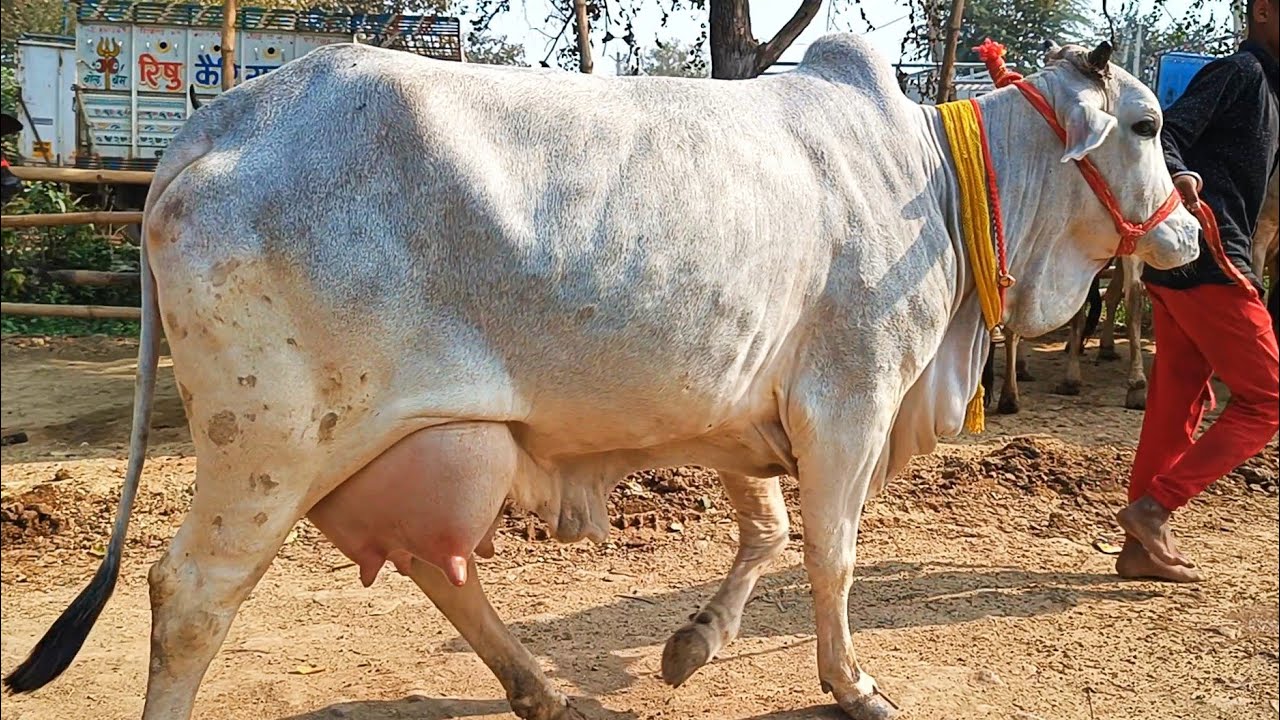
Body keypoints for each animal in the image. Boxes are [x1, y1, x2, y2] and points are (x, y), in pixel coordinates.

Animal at [3, 35, 1199, 720]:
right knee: (189, 599)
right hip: (269, 449)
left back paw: (537, 687)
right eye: (1145, 124)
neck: (938, 186)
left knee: (437, 566)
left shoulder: (741, 412)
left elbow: (765, 533)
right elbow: (833, 554)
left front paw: (690, 645)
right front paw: (851, 683)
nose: (1189, 229)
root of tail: (214, 121)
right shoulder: (847, 405)